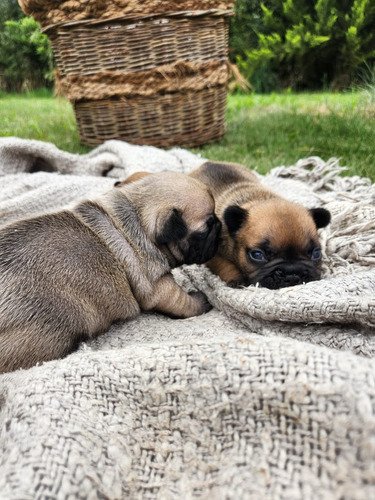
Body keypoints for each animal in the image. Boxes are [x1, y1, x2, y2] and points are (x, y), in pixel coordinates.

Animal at [0, 172, 222, 372]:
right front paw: (200, 301)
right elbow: (182, 301)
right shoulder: (158, 286)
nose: (220, 224)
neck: (137, 216)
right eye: (207, 227)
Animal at [191, 162, 332, 290]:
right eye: (257, 255)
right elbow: (225, 265)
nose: (292, 275)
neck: (257, 199)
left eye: (316, 253)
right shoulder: (213, 255)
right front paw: (237, 279)